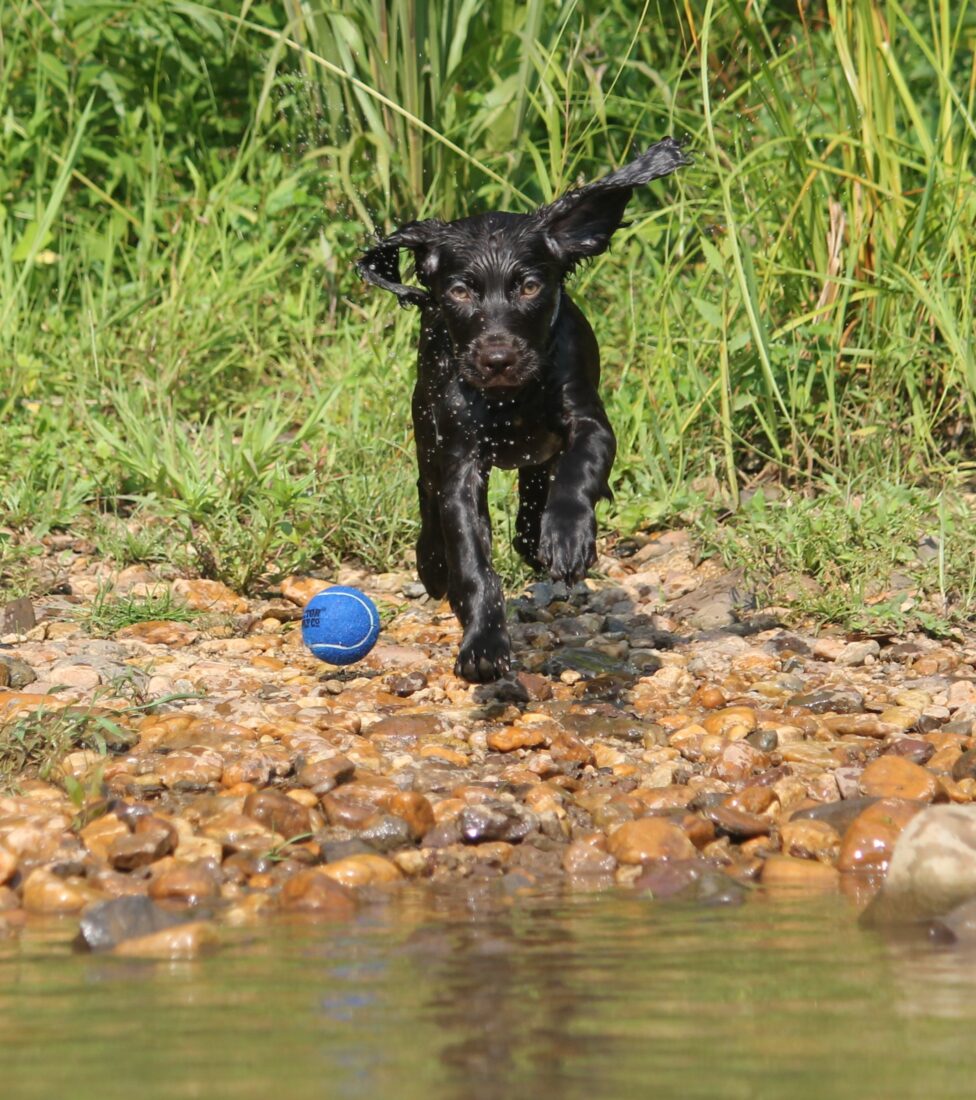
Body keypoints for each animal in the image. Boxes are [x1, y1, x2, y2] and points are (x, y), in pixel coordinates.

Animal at [356, 137, 686, 677]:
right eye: (459, 290)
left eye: (529, 287)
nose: (497, 359)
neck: (510, 396)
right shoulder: (460, 461)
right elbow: (471, 560)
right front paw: (483, 644)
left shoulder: (588, 420)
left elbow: (577, 471)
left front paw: (568, 536)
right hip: (426, 426)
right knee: (429, 495)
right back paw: (433, 563)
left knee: (537, 487)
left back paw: (539, 537)